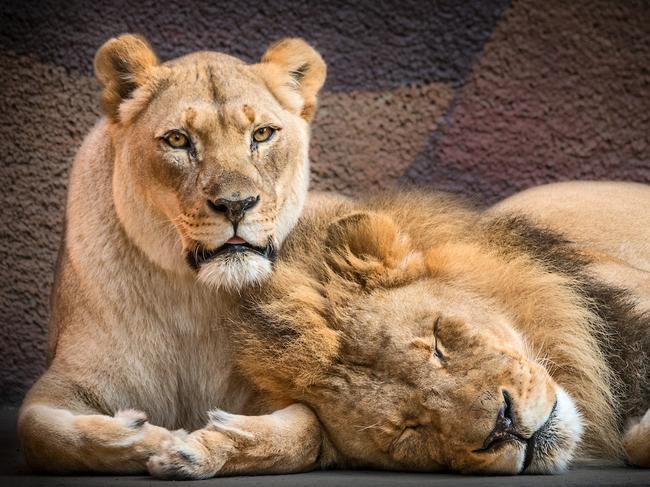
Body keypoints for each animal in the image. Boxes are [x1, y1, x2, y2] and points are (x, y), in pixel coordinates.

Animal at [16, 33, 324, 472]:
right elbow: (41, 433)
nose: (236, 204)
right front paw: (150, 438)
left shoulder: (287, 392)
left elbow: (305, 433)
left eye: (263, 134)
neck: (192, 295)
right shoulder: (62, 383)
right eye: (178, 139)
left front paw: (205, 446)